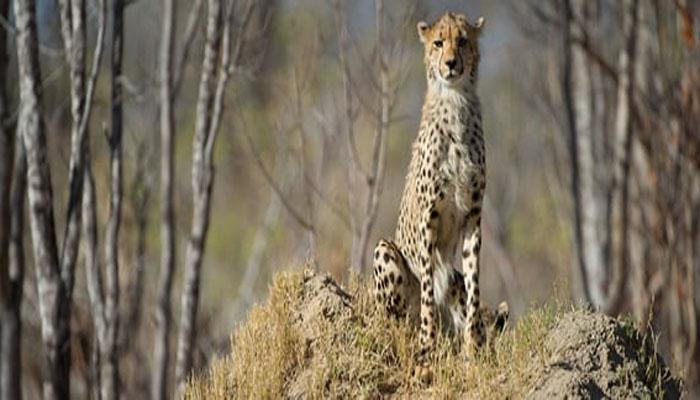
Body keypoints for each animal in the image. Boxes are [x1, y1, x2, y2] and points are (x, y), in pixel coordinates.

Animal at [374, 12, 506, 382]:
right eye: (438, 42)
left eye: (462, 41)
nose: (450, 63)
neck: (456, 103)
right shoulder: (427, 222)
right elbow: (429, 300)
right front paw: (425, 357)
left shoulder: (473, 218)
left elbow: (474, 290)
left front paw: (473, 352)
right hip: (384, 251)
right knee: (399, 321)